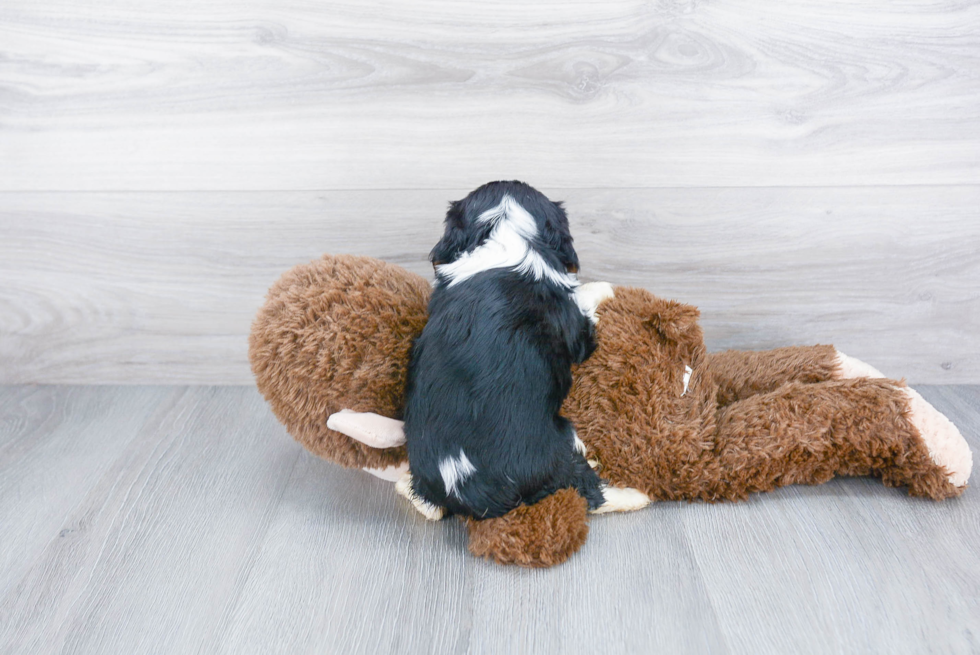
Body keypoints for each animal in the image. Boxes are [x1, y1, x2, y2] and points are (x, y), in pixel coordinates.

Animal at [398, 182, 636, 520]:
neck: (506, 232)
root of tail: (470, 487)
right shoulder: (576, 332)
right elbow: (583, 307)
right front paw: (601, 288)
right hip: (561, 443)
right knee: (590, 490)